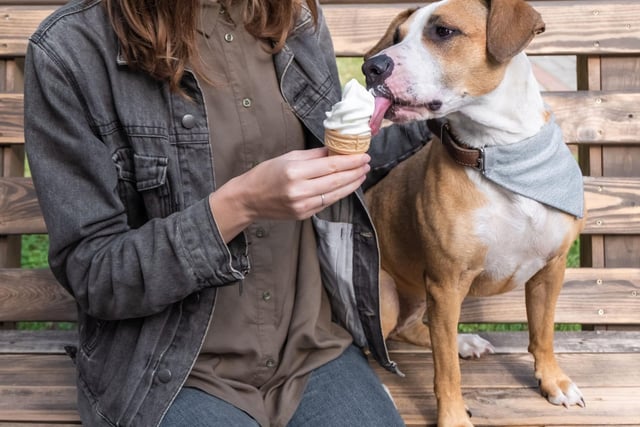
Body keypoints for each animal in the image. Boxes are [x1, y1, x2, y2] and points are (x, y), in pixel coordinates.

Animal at [362, 1, 588, 426]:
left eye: (444, 32)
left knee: (409, 329)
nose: (372, 66)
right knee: (370, 341)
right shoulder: (446, 283)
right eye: (397, 37)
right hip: (384, 294)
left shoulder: (551, 268)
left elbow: (543, 333)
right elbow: (445, 369)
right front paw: (452, 416)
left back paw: (464, 340)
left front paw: (554, 381)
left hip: (419, 298)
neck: (498, 152)